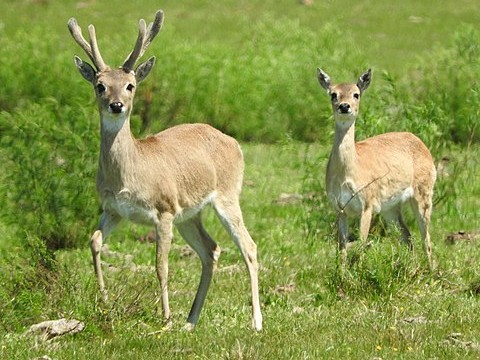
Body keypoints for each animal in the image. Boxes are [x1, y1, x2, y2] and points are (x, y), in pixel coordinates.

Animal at [66, 9, 262, 330]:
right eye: (100, 85)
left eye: (131, 85)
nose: (116, 105)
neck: (131, 173)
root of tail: (233, 142)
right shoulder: (113, 209)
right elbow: (94, 242)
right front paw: (104, 302)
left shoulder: (164, 211)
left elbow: (161, 266)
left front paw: (166, 318)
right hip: (190, 215)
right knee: (211, 249)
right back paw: (191, 321)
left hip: (226, 196)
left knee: (249, 247)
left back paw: (256, 321)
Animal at [316, 68, 436, 268]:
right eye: (333, 94)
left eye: (356, 94)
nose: (344, 106)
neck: (348, 172)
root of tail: (421, 143)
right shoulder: (340, 209)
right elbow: (342, 248)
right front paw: (341, 273)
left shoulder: (367, 205)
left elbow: (361, 243)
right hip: (391, 208)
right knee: (407, 235)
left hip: (423, 196)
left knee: (426, 238)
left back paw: (431, 270)